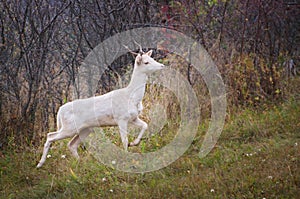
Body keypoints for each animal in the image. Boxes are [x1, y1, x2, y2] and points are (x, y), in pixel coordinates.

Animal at [37, 48, 165, 168]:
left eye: (152, 59)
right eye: (146, 62)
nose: (162, 66)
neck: (132, 97)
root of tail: (60, 110)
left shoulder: (133, 118)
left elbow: (145, 125)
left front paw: (135, 143)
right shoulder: (121, 119)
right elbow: (124, 140)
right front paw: (127, 156)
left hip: (85, 129)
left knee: (71, 144)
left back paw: (80, 162)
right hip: (69, 127)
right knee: (50, 136)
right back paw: (40, 163)